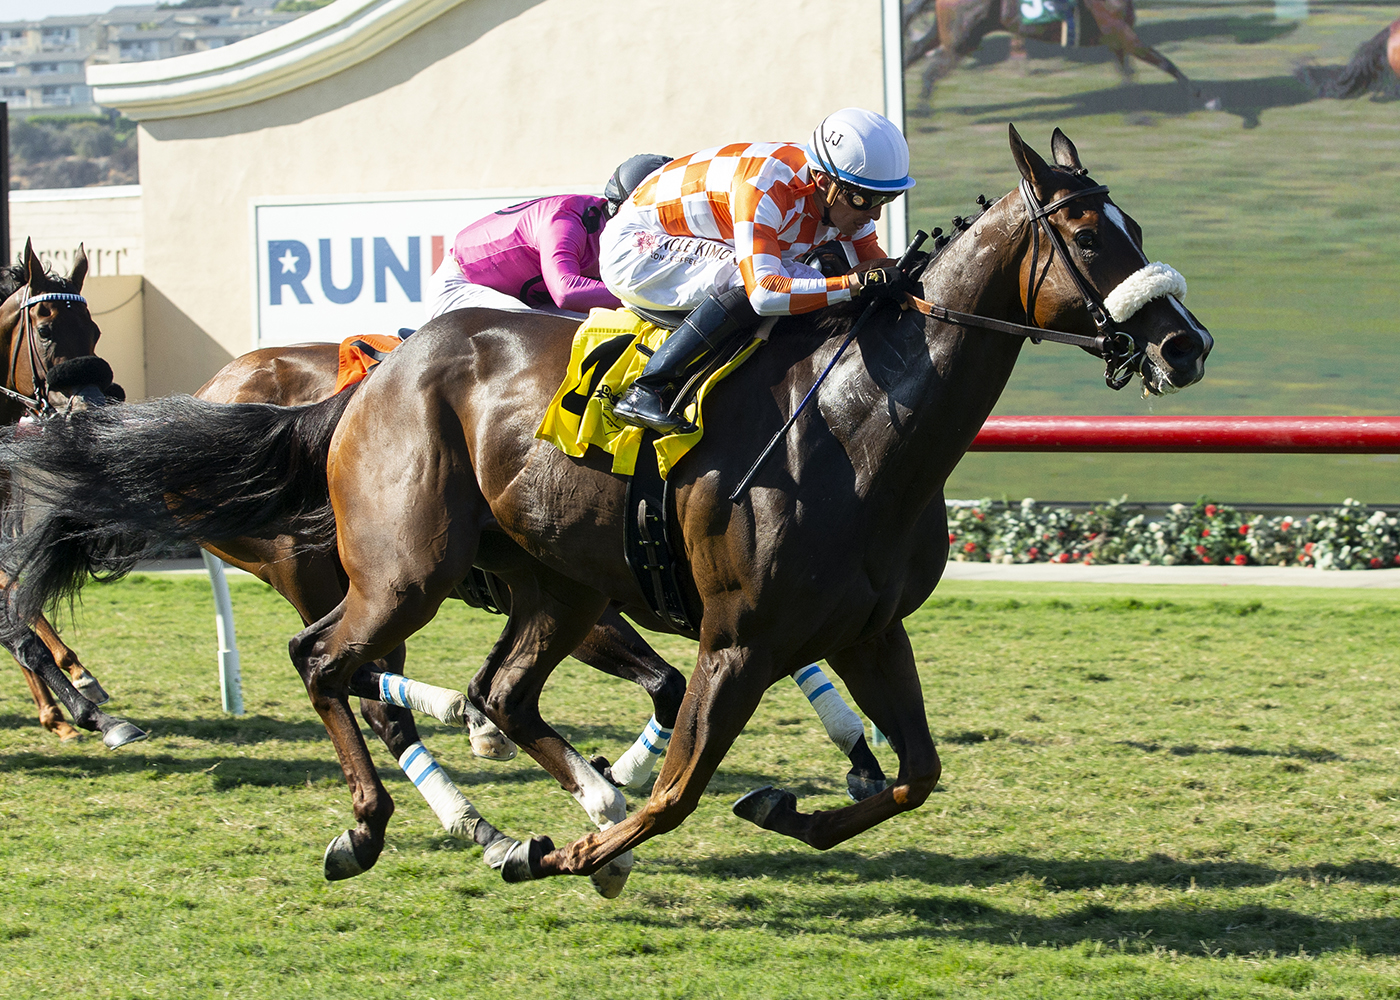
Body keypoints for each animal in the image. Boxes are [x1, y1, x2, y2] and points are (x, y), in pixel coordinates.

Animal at [901, 0, 1187, 113]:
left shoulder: (1116, 38)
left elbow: (1129, 73)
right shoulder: (1119, 31)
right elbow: (1160, 62)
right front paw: (1195, 94)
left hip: (947, 34)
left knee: (914, 54)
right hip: (963, 40)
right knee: (930, 71)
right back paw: (923, 116)